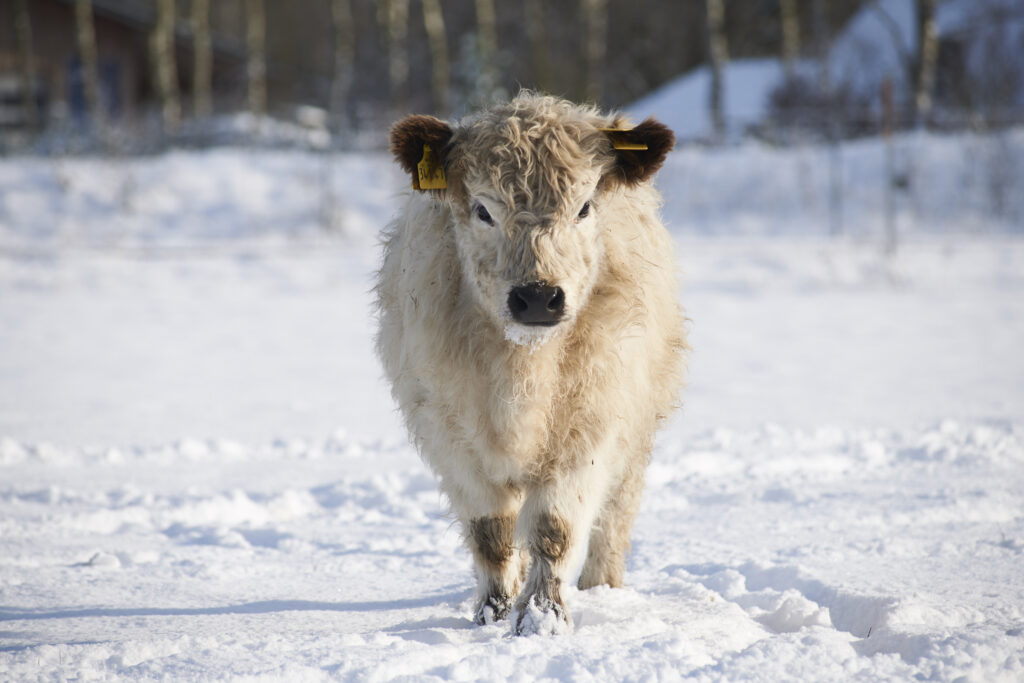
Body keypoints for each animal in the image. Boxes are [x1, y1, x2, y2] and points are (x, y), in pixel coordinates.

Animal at [376, 92, 688, 634]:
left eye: (584, 207)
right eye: (483, 210)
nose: (538, 298)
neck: (523, 369)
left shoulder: (590, 428)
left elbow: (554, 528)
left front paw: (543, 618)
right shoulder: (449, 433)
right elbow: (492, 532)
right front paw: (494, 612)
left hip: (637, 430)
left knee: (614, 518)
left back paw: (603, 589)